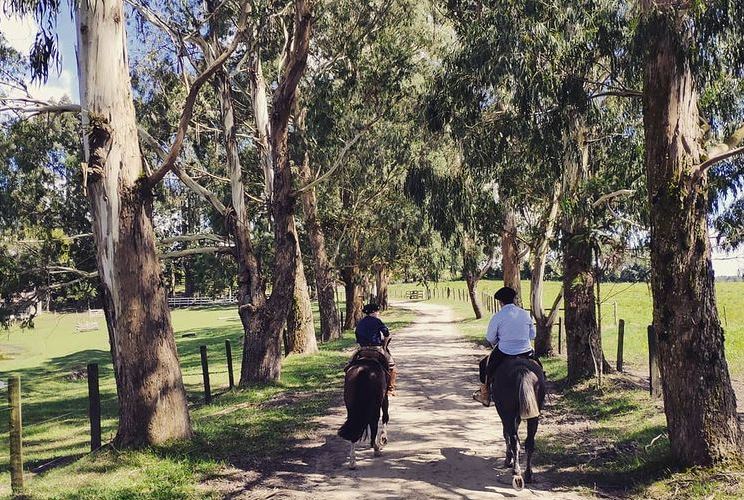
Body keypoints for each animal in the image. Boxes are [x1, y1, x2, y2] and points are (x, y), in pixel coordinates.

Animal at [492, 358, 544, 490]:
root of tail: (522, 370)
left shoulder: (505, 414)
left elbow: (506, 434)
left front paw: (508, 459)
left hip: (507, 412)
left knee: (514, 439)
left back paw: (516, 470)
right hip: (533, 415)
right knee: (529, 442)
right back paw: (529, 474)